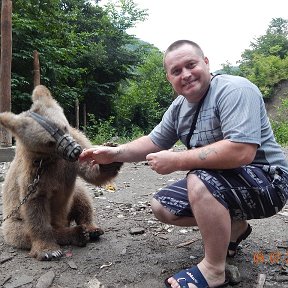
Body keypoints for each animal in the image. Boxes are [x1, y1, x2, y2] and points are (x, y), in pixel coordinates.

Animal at [0, 85, 122, 260]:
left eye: (63, 127)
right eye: (49, 142)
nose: (75, 150)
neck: (52, 158)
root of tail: (63, 221)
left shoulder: (73, 148)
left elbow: (90, 171)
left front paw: (110, 156)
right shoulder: (33, 172)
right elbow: (35, 206)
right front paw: (49, 251)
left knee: (82, 197)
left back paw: (91, 229)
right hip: (11, 222)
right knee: (22, 232)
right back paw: (77, 234)